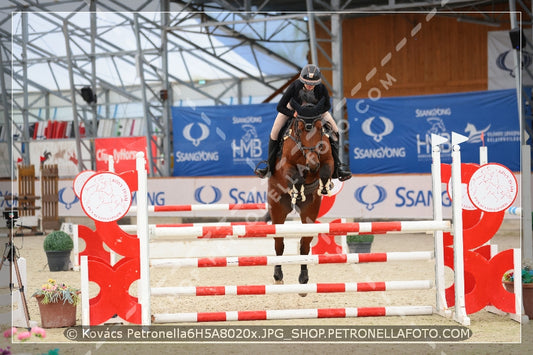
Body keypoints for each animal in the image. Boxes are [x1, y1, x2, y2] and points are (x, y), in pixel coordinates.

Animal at [266, 97, 332, 292]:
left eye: (320, 127)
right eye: (300, 129)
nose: (313, 163)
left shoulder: (327, 160)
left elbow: (326, 170)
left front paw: (323, 185)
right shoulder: (285, 165)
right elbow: (294, 173)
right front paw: (298, 185)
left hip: (310, 211)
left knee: (304, 245)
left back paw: (303, 279)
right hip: (278, 209)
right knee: (279, 244)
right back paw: (278, 276)